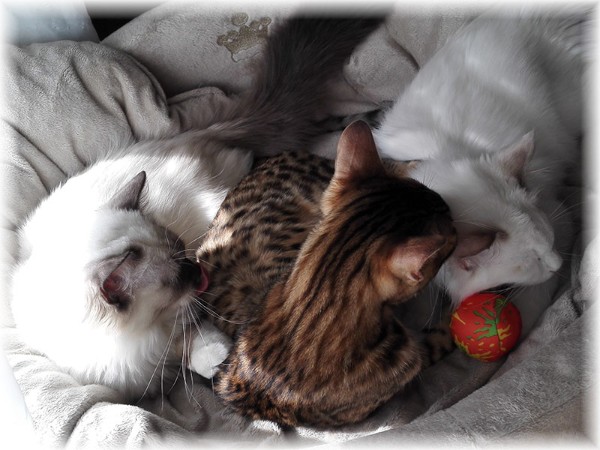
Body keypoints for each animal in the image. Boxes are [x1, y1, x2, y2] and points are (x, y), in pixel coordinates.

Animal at [9, 16, 384, 401]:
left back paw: (366, 124)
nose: (199, 269)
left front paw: (221, 361)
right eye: (176, 278)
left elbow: (197, 344)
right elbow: (187, 350)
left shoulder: (183, 323)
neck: (144, 335)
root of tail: (190, 135)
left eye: (183, 251)